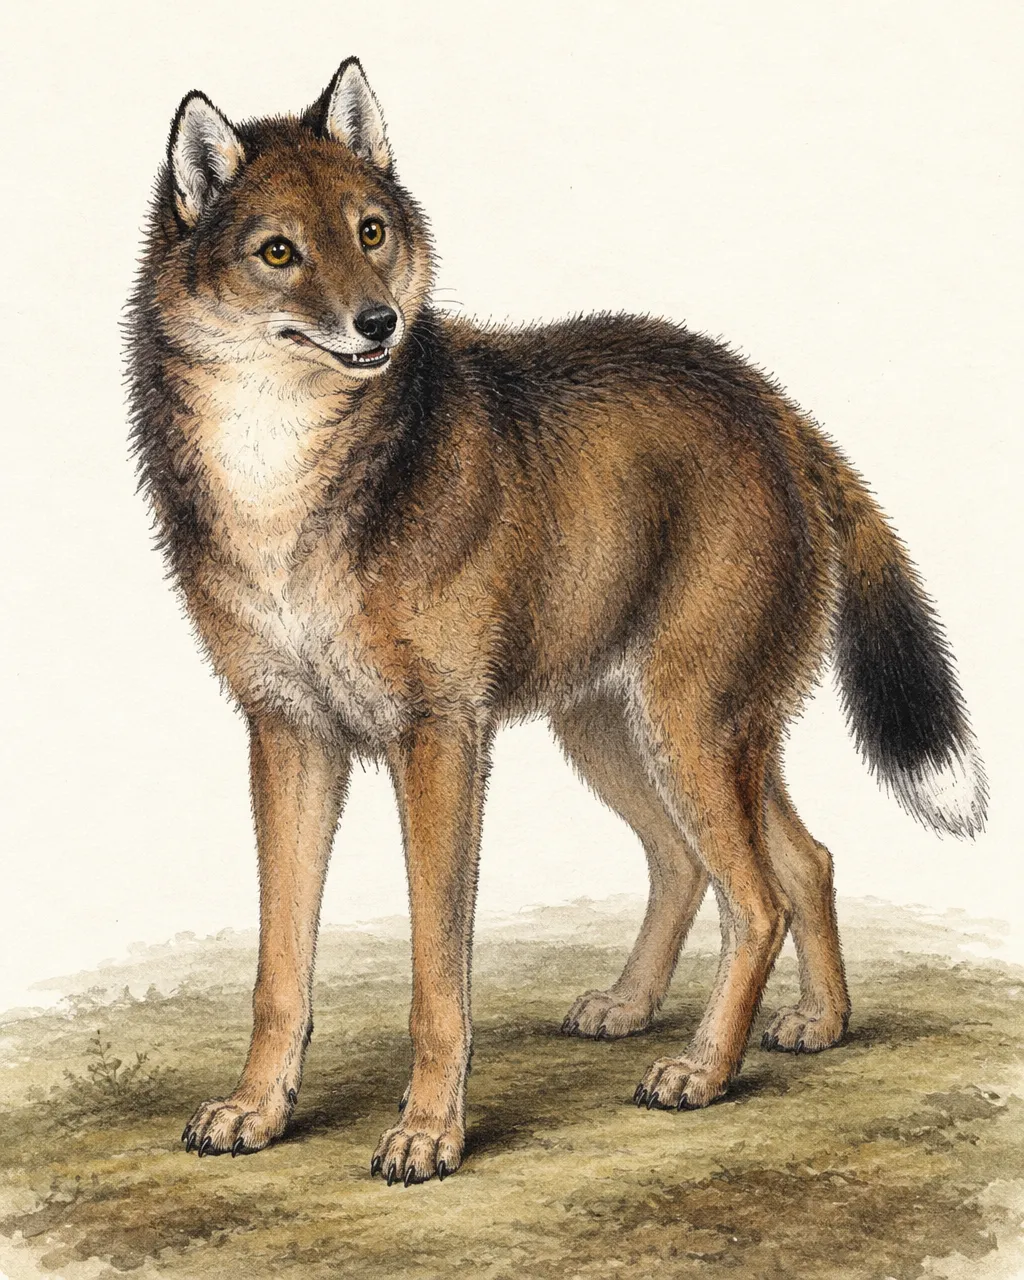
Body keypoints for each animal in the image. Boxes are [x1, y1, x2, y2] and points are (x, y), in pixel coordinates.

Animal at [126, 57, 987, 1187]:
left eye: (370, 232)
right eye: (278, 252)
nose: (377, 324)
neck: (286, 477)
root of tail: (774, 408)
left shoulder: (439, 739)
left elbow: (437, 975)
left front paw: (429, 1131)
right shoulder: (289, 736)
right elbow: (281, 967)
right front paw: (258, 1109)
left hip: (687, 730)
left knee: (757, 895)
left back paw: (701, 1069)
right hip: (629, 732)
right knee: (762, 861)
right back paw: (777, 1018)